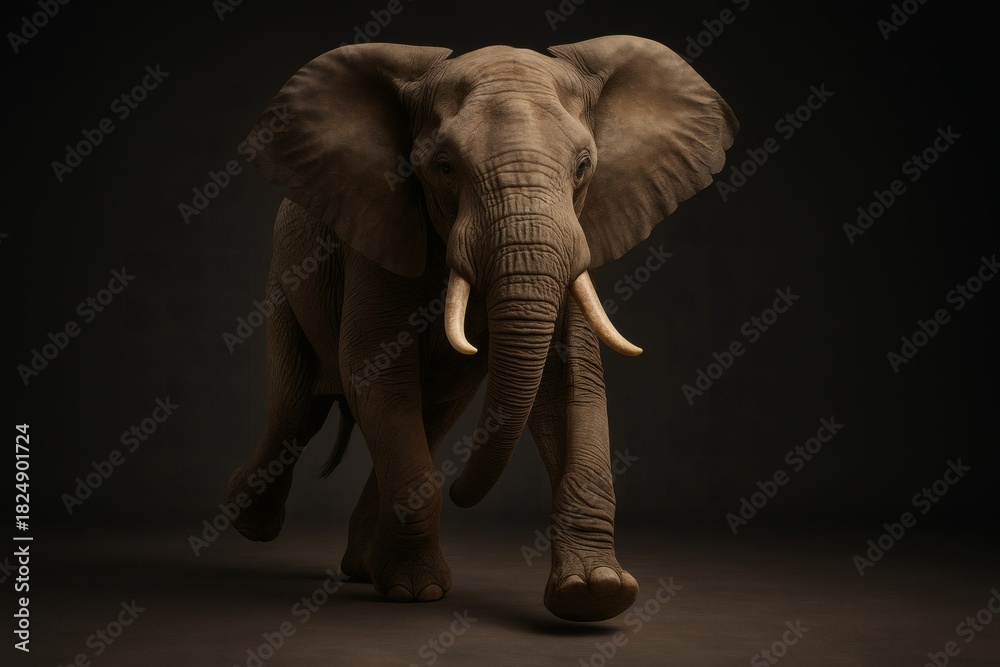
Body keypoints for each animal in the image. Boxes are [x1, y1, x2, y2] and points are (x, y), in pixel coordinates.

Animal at [225, 35, 737, 622]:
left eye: (584, 165)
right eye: (444, 166)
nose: (462, 493)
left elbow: (571, 382)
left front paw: (596, 594)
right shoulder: (377, 232)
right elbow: (375, 372)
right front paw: (418, 592)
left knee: (427, 417)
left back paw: (361, 568)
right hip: (283, 286)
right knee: (298, 409)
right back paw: (255, 526)